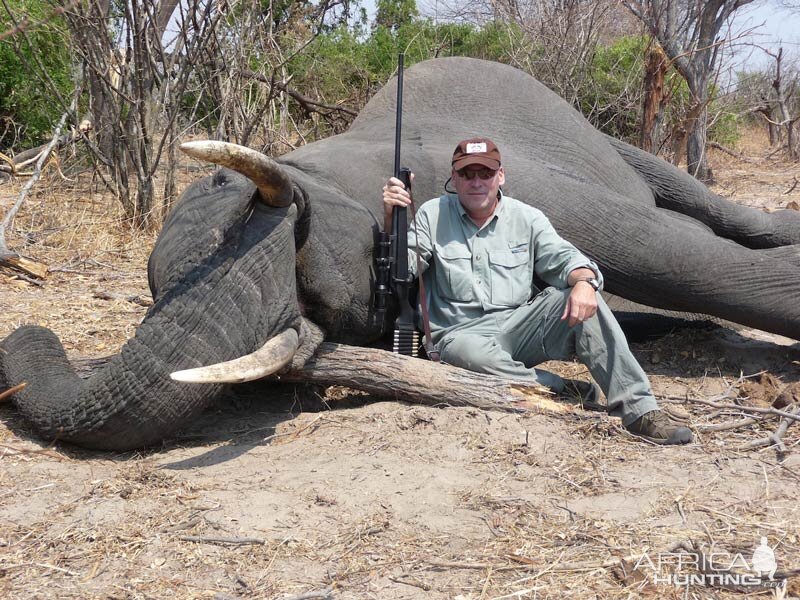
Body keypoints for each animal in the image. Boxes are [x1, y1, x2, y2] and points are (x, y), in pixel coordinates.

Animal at [4, 57, 800, 450]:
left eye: (292, 225)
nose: (32, 330)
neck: (330, 166)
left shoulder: (530, 180)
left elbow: (675, 259)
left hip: (601, 141)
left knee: (701, 214)